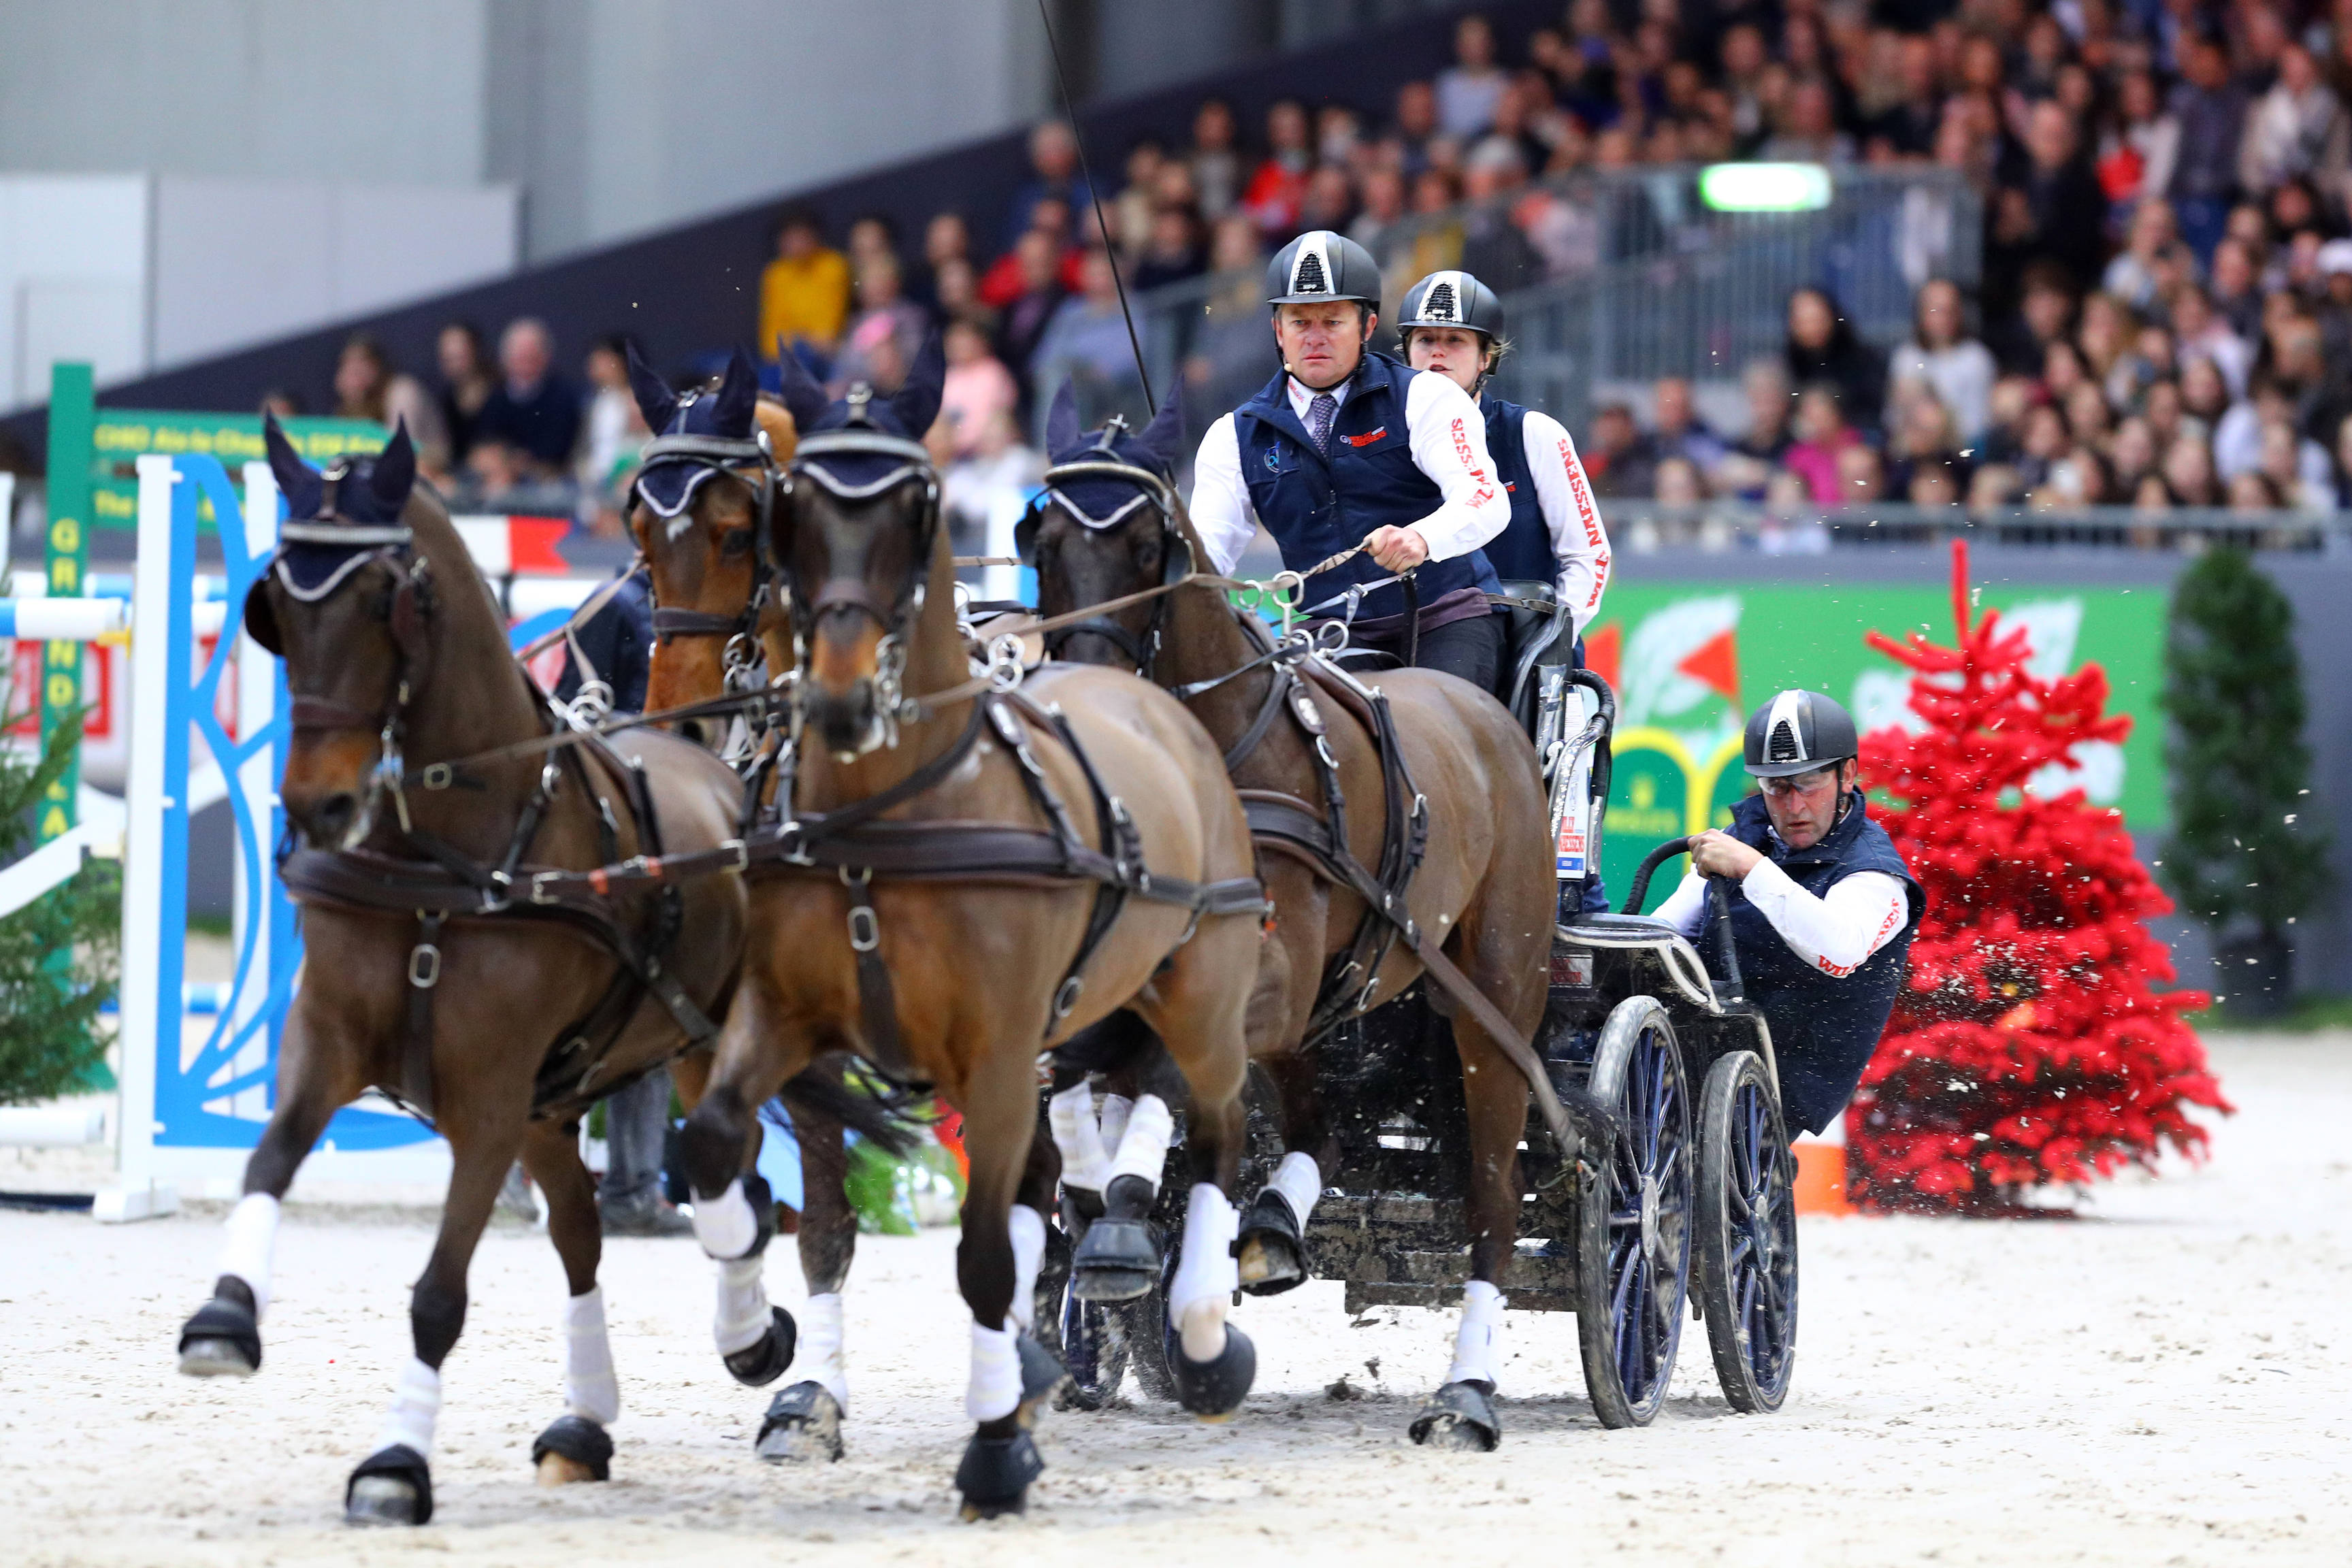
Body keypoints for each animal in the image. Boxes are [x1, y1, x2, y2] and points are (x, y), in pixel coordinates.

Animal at [1025, 399, 1561, 1457]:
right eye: (1044, 539)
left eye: (1147, 545)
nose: (1093, 701)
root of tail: (1495, 725)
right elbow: (1087, 1081)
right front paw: (1103, 1202)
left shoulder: (1260, 978)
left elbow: (1165, 1077)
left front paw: (1124, 1226)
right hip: (1330, 1008)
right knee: (1319, 1130)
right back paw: (1266, 1230)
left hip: (1493, 1010)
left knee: (1490, 1201)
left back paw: (1467, 1393)